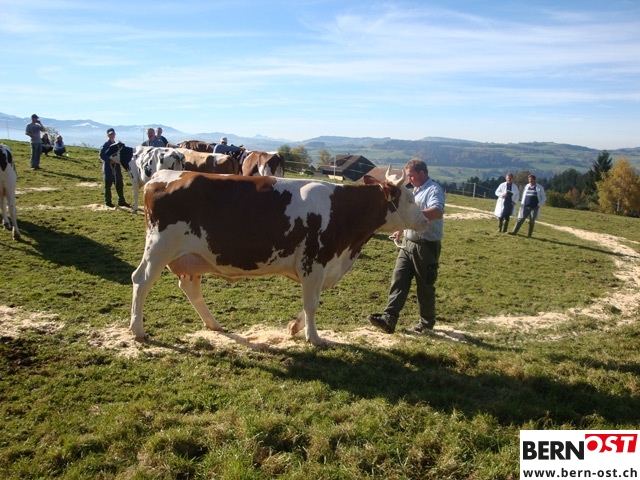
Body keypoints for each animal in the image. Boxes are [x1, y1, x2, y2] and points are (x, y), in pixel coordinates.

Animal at [130, 166, 429, 347]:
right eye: (411, 200)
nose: (426, 220)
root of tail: (164, 174)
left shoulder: (322, 268)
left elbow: (311, 303)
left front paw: (295, 327)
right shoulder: (314, 262)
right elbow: (312, 304)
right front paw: (314, 337)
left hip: (191, 257)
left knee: (190, 287)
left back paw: (214, 324)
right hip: (159, 248)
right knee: (141, 281)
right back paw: (137, 330)